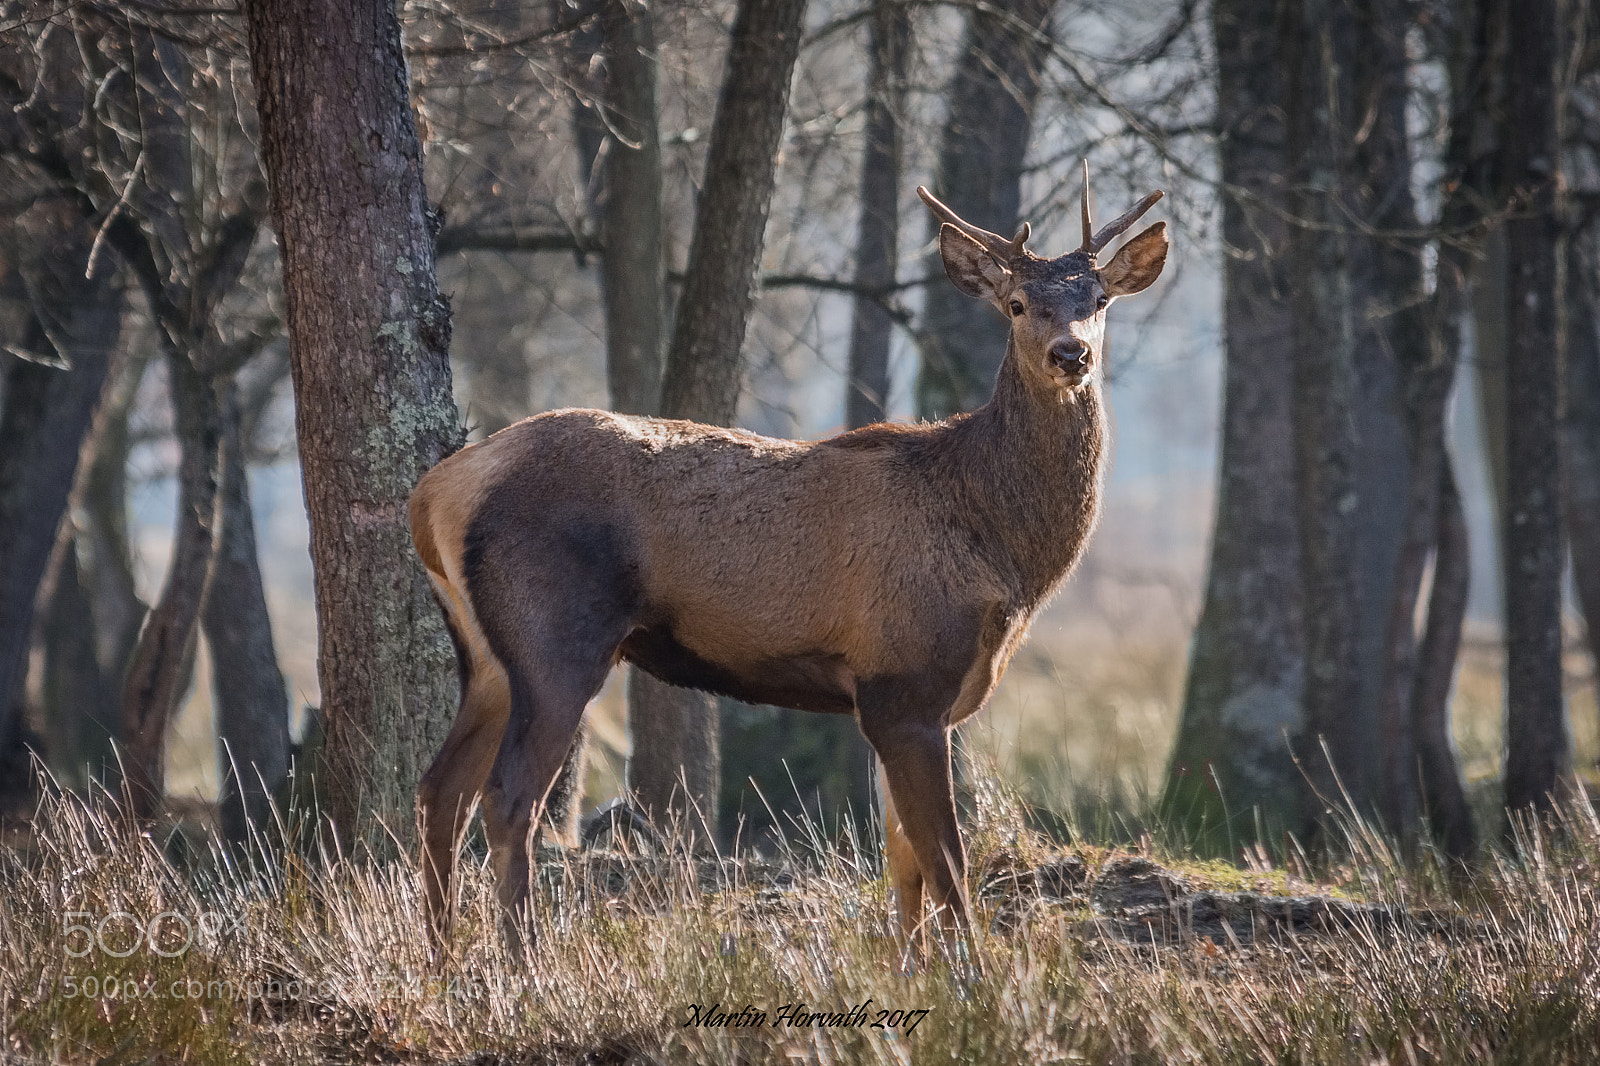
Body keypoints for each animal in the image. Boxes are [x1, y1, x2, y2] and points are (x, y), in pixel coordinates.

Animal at [409, 166, 1168, 952]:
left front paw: (913, 970)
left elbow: (904, 863)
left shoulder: (901, 698)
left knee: (440, 790)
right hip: (555, 636)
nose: (1071, 354)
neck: (1003, 553)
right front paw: (971, 972)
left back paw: (446, 958)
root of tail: (434, 493)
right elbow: (947, 863)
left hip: (488, 657)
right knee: (507, 798)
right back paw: (518, 961)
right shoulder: (905, 682)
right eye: (1017, 304)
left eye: (1099, 300)